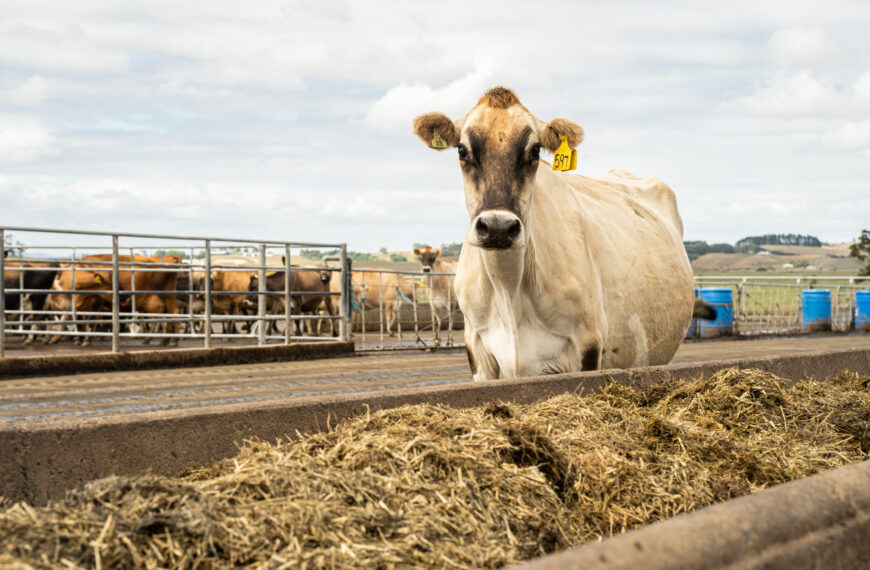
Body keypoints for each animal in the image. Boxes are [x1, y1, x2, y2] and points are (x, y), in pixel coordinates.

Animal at [416, 86, 696, 380]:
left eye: (535, 150)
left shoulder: (588, 346)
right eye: (462, 150)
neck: (508, 290)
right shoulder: (478, 352)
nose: (498, 227)